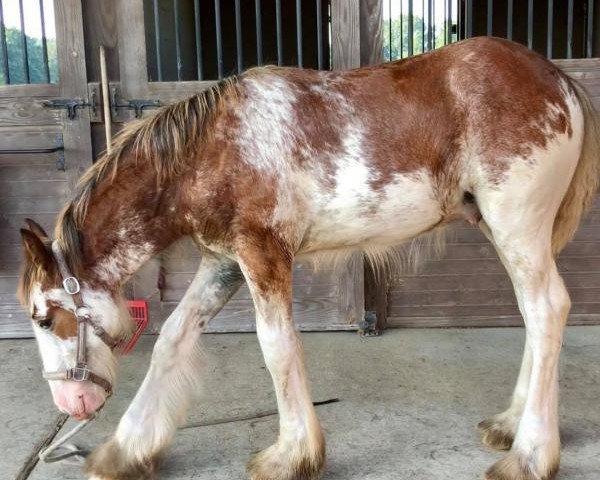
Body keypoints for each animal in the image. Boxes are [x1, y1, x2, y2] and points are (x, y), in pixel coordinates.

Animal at [17, 38, 600, 480]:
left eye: (44, 318)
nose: (70, 406)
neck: (210, 151)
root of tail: (559, 79)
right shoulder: (223, 264)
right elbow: (174, 339)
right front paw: (124, 450)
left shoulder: (263, 254)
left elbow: (277, 347)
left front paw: (292, 456)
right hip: (508, 232)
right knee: (534, 315)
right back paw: (510, 425)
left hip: (517, 226)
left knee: (548, 309)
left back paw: (530, 456)